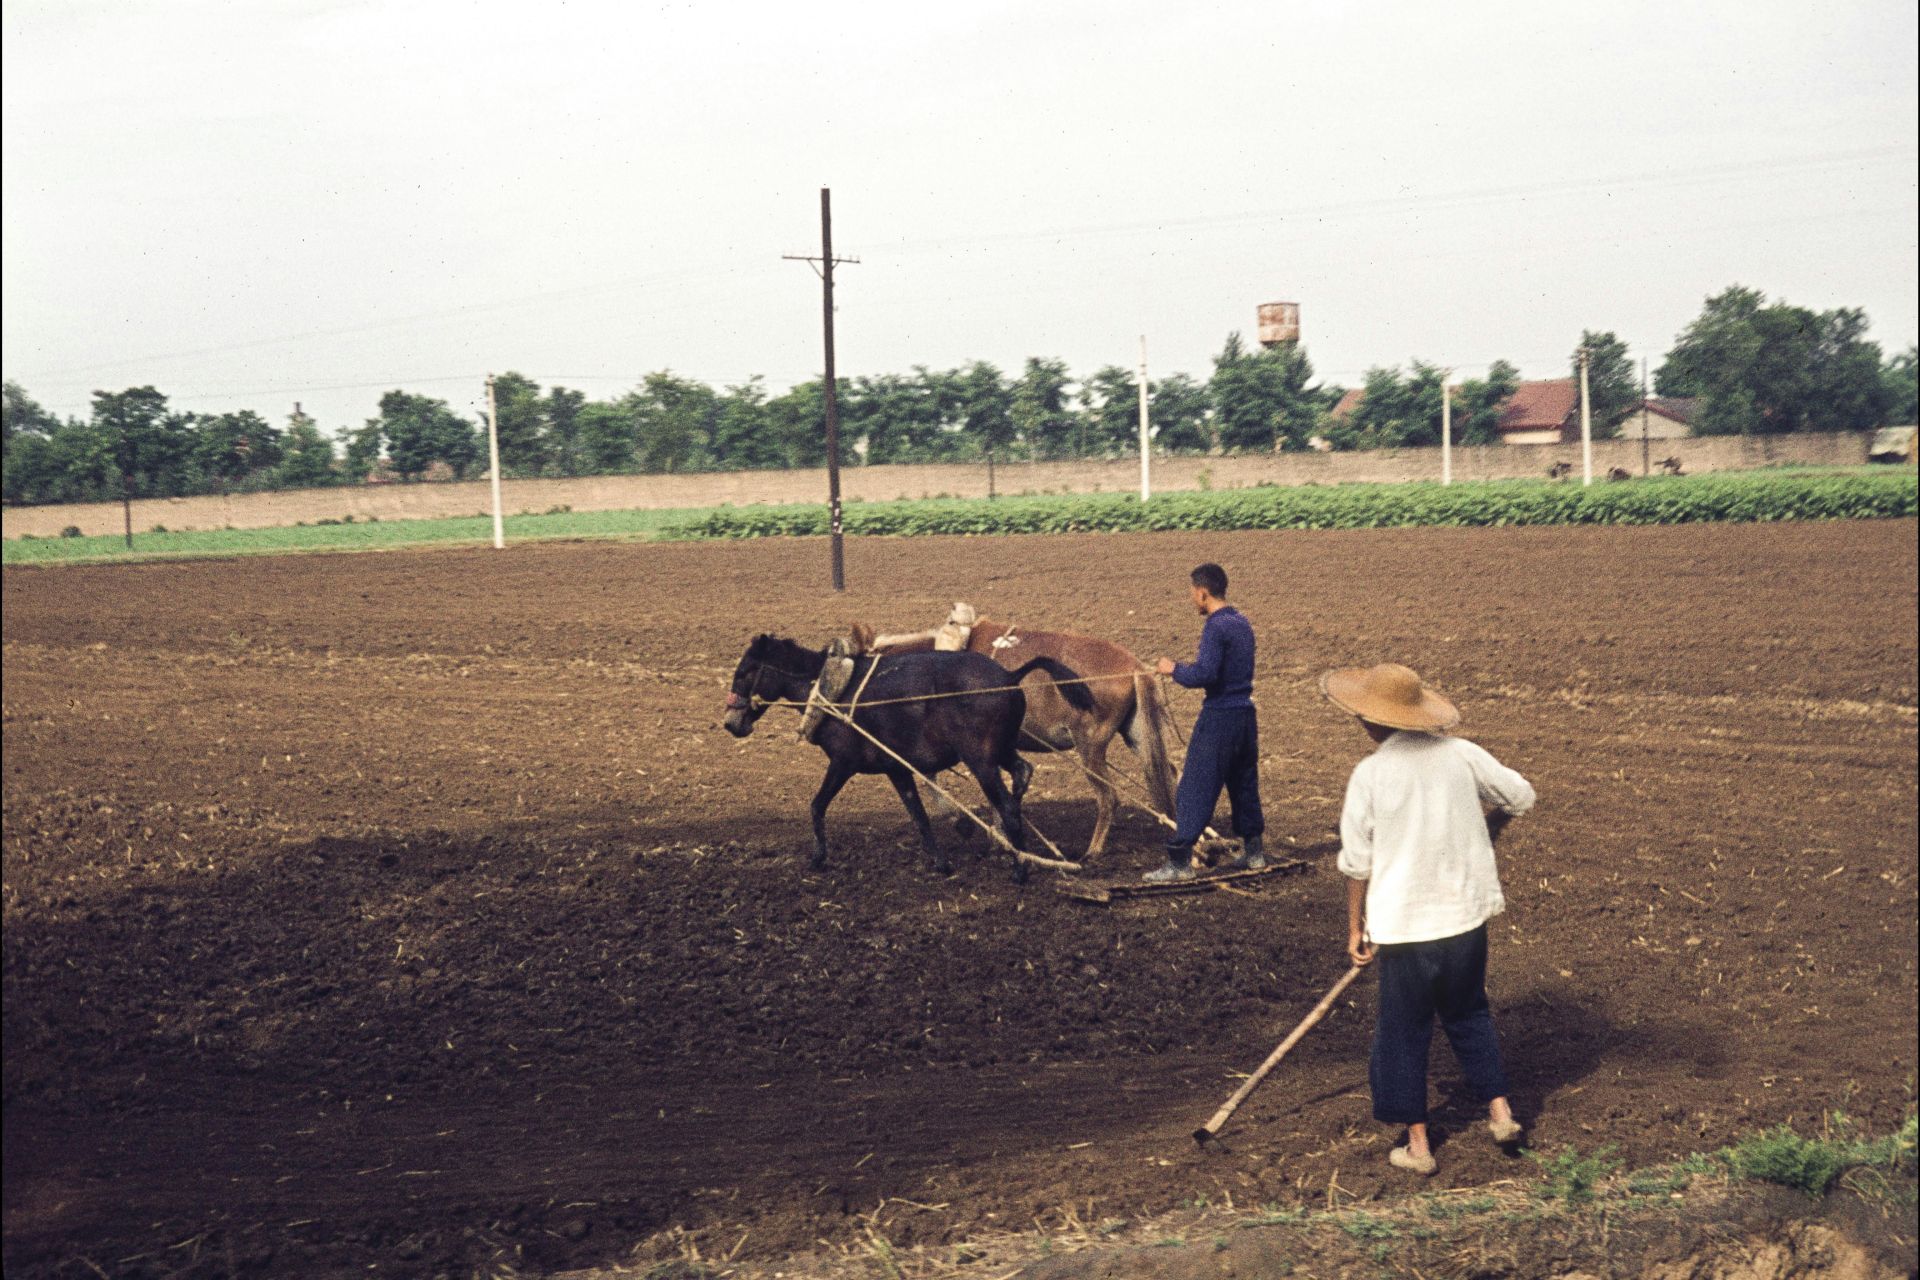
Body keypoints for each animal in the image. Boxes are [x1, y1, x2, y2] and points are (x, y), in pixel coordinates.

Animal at [867, 621, 1167, 859]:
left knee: (1108, 797)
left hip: (1090, 748)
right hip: (1137, 737)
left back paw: (1092, 851)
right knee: (1166, 773)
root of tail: (1135, 667)